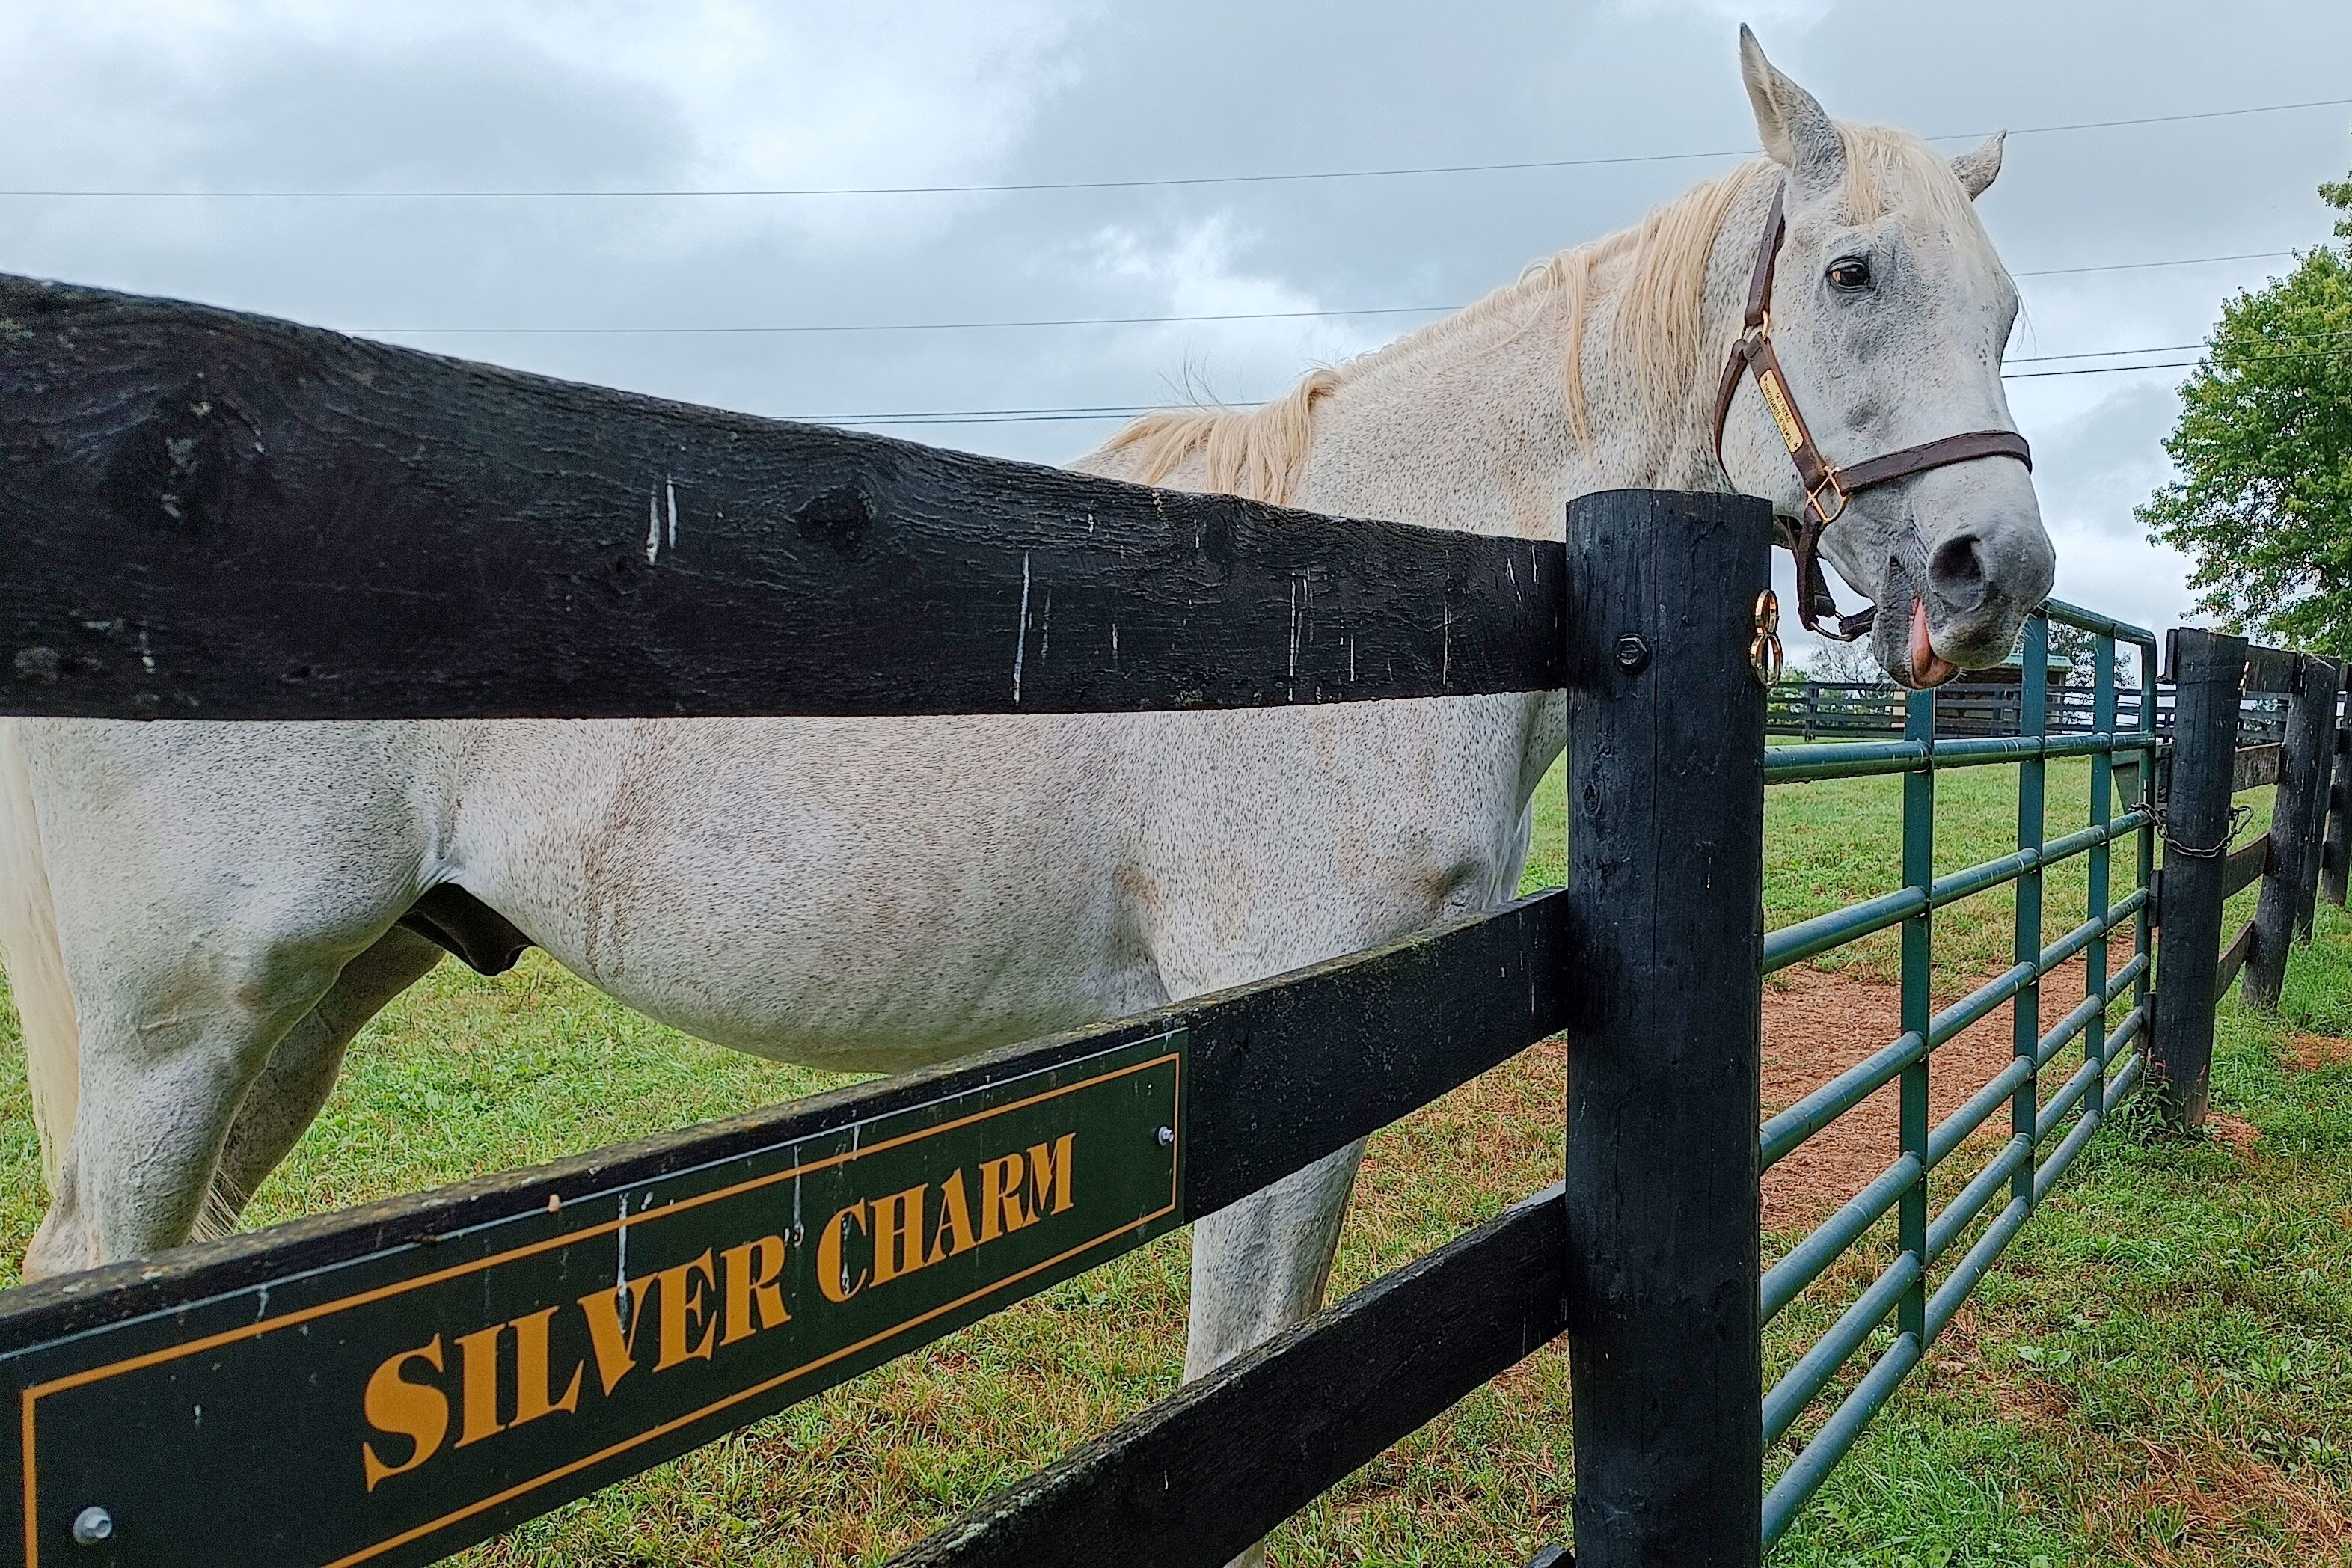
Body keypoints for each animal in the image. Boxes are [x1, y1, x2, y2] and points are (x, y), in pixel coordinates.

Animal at [0, 24, 2041, 1561]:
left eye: (2011, 305)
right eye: (1853, 272)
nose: (1991, 571)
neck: (1343, 618)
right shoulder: (1261, 1043)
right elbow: (1234, 1363)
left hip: (313, 1007)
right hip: (183, 1027)